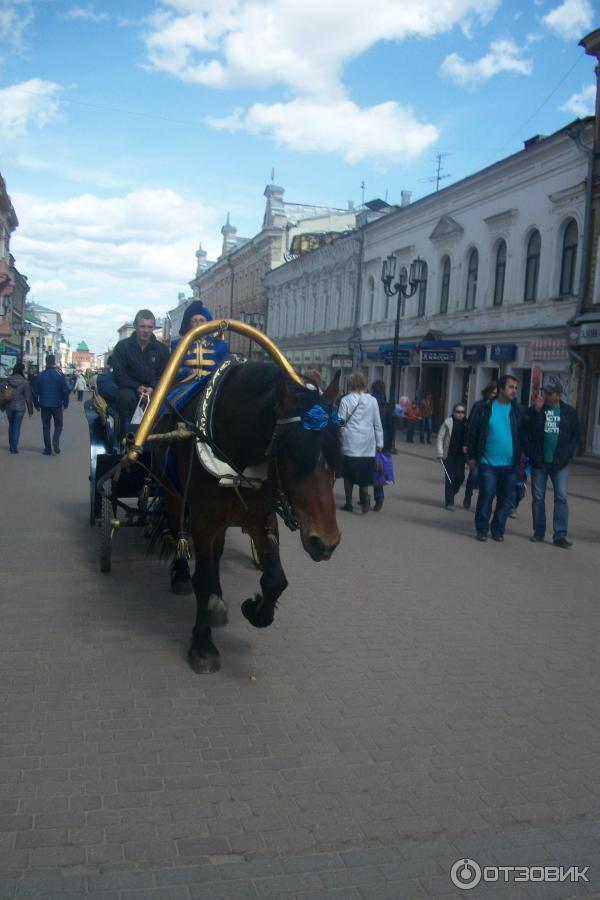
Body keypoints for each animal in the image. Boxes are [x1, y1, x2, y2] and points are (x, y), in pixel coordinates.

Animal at [154, 362, 342, 672]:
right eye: (290, 454)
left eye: (337, 456)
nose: (326, 543)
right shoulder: (203, 521)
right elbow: (201, 579)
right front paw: (202, 645)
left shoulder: (260, 516)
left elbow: (276, 578)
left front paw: (256, 610)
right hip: (173, 495)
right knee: (176, 531)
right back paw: (181, 575)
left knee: (216, 552)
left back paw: (217, 599)